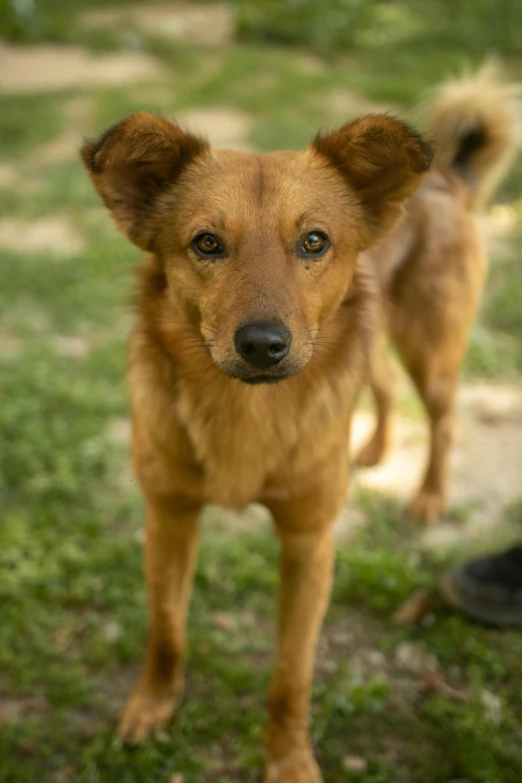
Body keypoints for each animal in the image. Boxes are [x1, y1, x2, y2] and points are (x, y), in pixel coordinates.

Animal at [81, 112, 428, 783]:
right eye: (207, 243)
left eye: (314, 242)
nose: (263, 345)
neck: (246, 411)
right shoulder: (168, 518)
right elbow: (167, 630)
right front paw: (152, 705)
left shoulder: (309, 542)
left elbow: (291, 676)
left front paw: (289, 761)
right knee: (386, 385)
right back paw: (376, 448)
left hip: (433, 347)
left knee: (441, 417)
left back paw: (429, 494)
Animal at [352, 64, 516, 524]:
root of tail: (444, 179)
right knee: (388, 387)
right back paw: (377, 449)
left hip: (429, 351)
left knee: (443, 423)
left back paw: (431, 496)